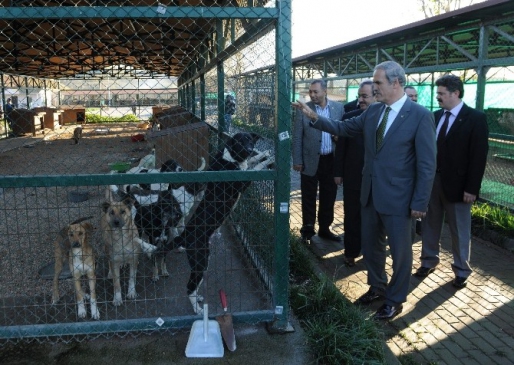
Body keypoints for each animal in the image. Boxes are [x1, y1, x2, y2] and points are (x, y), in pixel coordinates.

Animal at [164, 132, 274, 314]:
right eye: (239, 143)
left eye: (250, 141)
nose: (249, 149)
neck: (230, 158)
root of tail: (185, 235)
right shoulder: (243, 180)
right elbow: (255, 168)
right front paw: (268, 158)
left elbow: (252, 162)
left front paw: (263, 154)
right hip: (201, 262)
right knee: (189, 287)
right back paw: (198, 310)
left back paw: (199, 300)